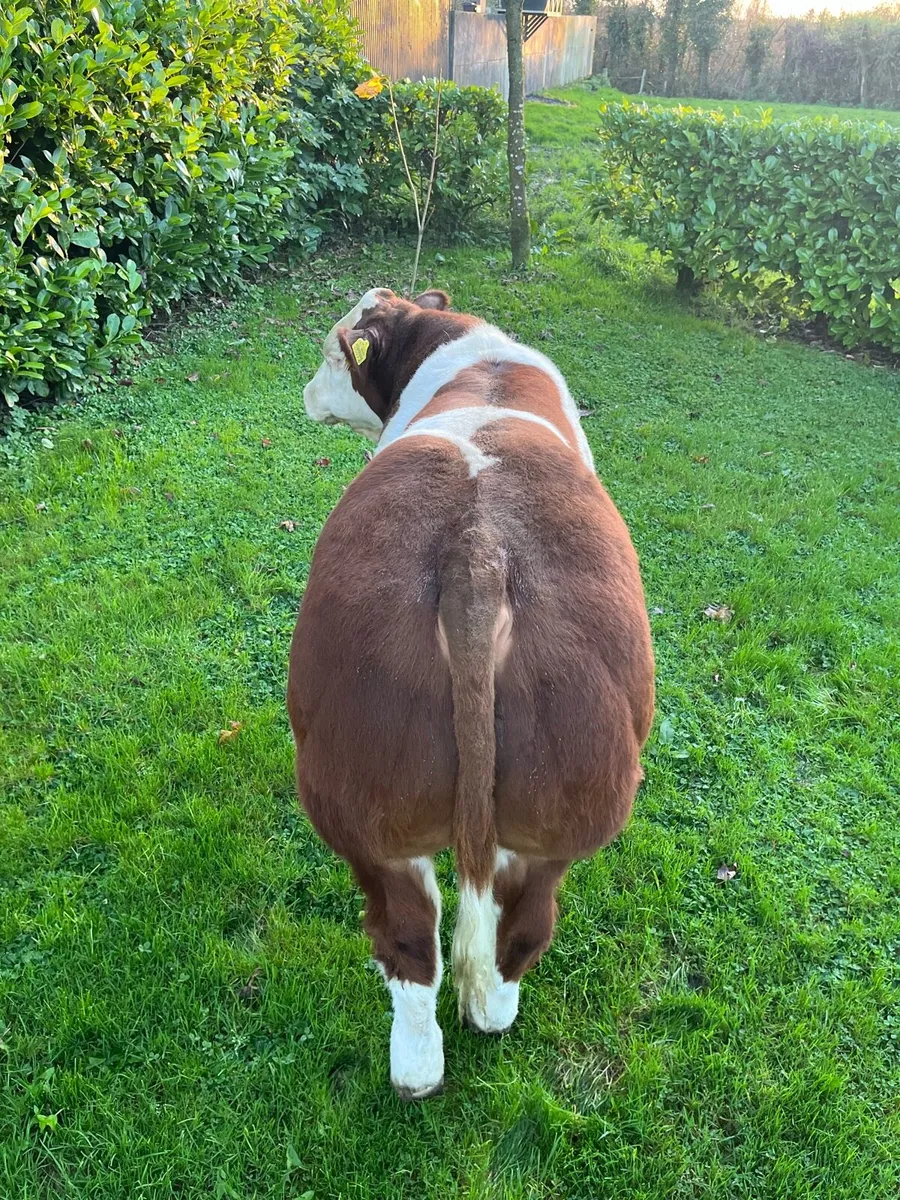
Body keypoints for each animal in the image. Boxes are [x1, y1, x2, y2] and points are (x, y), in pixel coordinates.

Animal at [289, 288, 654, 1099]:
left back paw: (420, 1064)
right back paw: (479, 1019)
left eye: (331, 352)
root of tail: (476, 549)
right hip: (558, 794)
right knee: (517, 922)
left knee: (410, 935)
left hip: (365, 794)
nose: (303, 393)